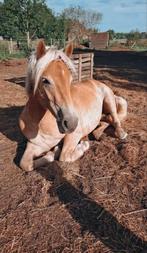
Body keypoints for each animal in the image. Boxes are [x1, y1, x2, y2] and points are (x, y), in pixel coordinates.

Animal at [19, 41, 127, 172]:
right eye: (45, 80)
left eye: (70, 80)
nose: (71, 123)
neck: (42, 124)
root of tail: (96, 82)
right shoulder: (35, 144)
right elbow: (25, 164)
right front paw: (53, 152)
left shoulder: (74, 135)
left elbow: (64, 157)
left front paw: (82, 146)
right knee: (106, 120)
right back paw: (97, 133)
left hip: (109, 100)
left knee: (115, 119)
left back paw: (121, 133)